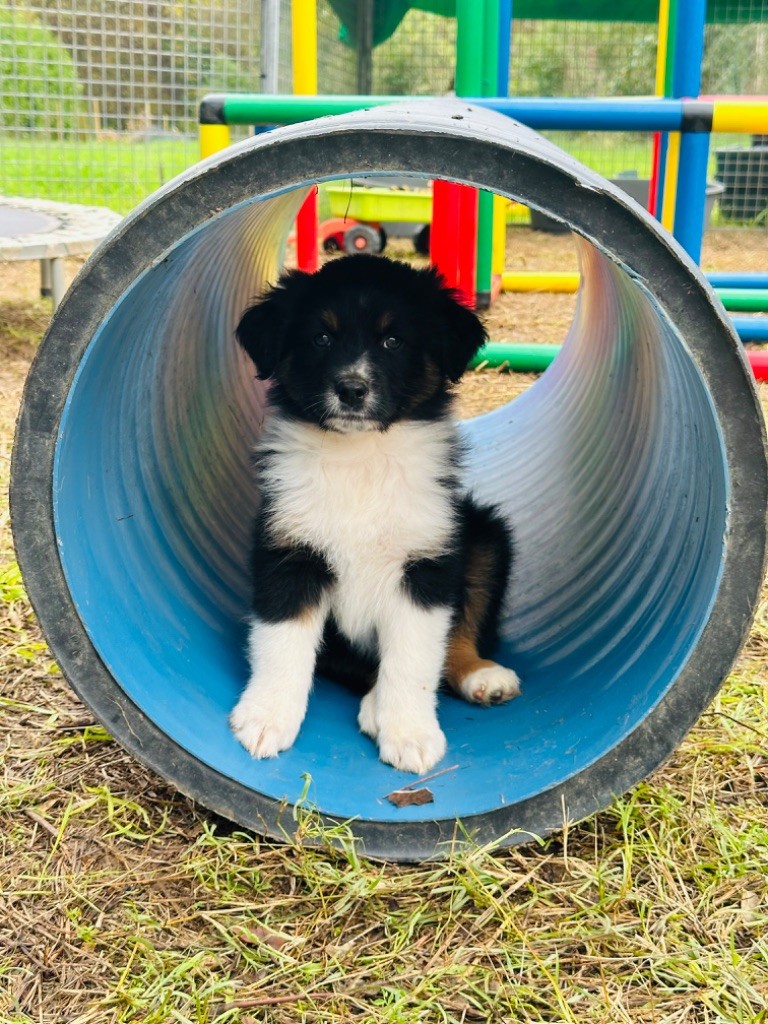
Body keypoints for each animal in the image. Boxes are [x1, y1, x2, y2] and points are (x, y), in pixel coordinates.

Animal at [231, 251, 520, 770]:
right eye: (322, 337)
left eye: (392, 340)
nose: (352, 389)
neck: (359, 457)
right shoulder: (289, 552)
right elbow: (281, 642)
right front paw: (265, 719)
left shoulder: (426, 562)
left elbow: (413, 658)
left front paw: (410, 734)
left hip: (484, 537)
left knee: (459, 633)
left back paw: (481, 675)